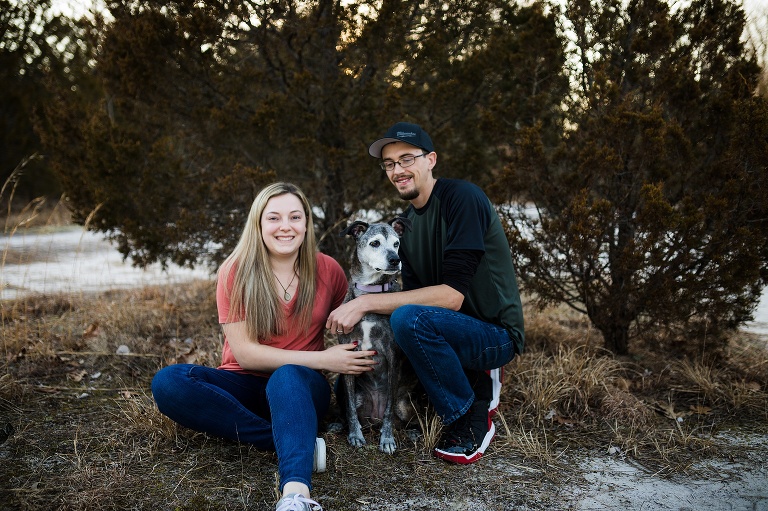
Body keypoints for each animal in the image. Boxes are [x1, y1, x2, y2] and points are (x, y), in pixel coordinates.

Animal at [336, 218, 416, 454]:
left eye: (397, 243)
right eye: (374, 243)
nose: (395, 260)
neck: (369, 293)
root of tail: (374, 420)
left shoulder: (392, 356)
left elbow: (389, 407)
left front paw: (387, 439)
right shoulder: (348, 353)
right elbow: (350, 407)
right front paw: (355, 435)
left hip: (404, 405)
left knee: (402, 417)